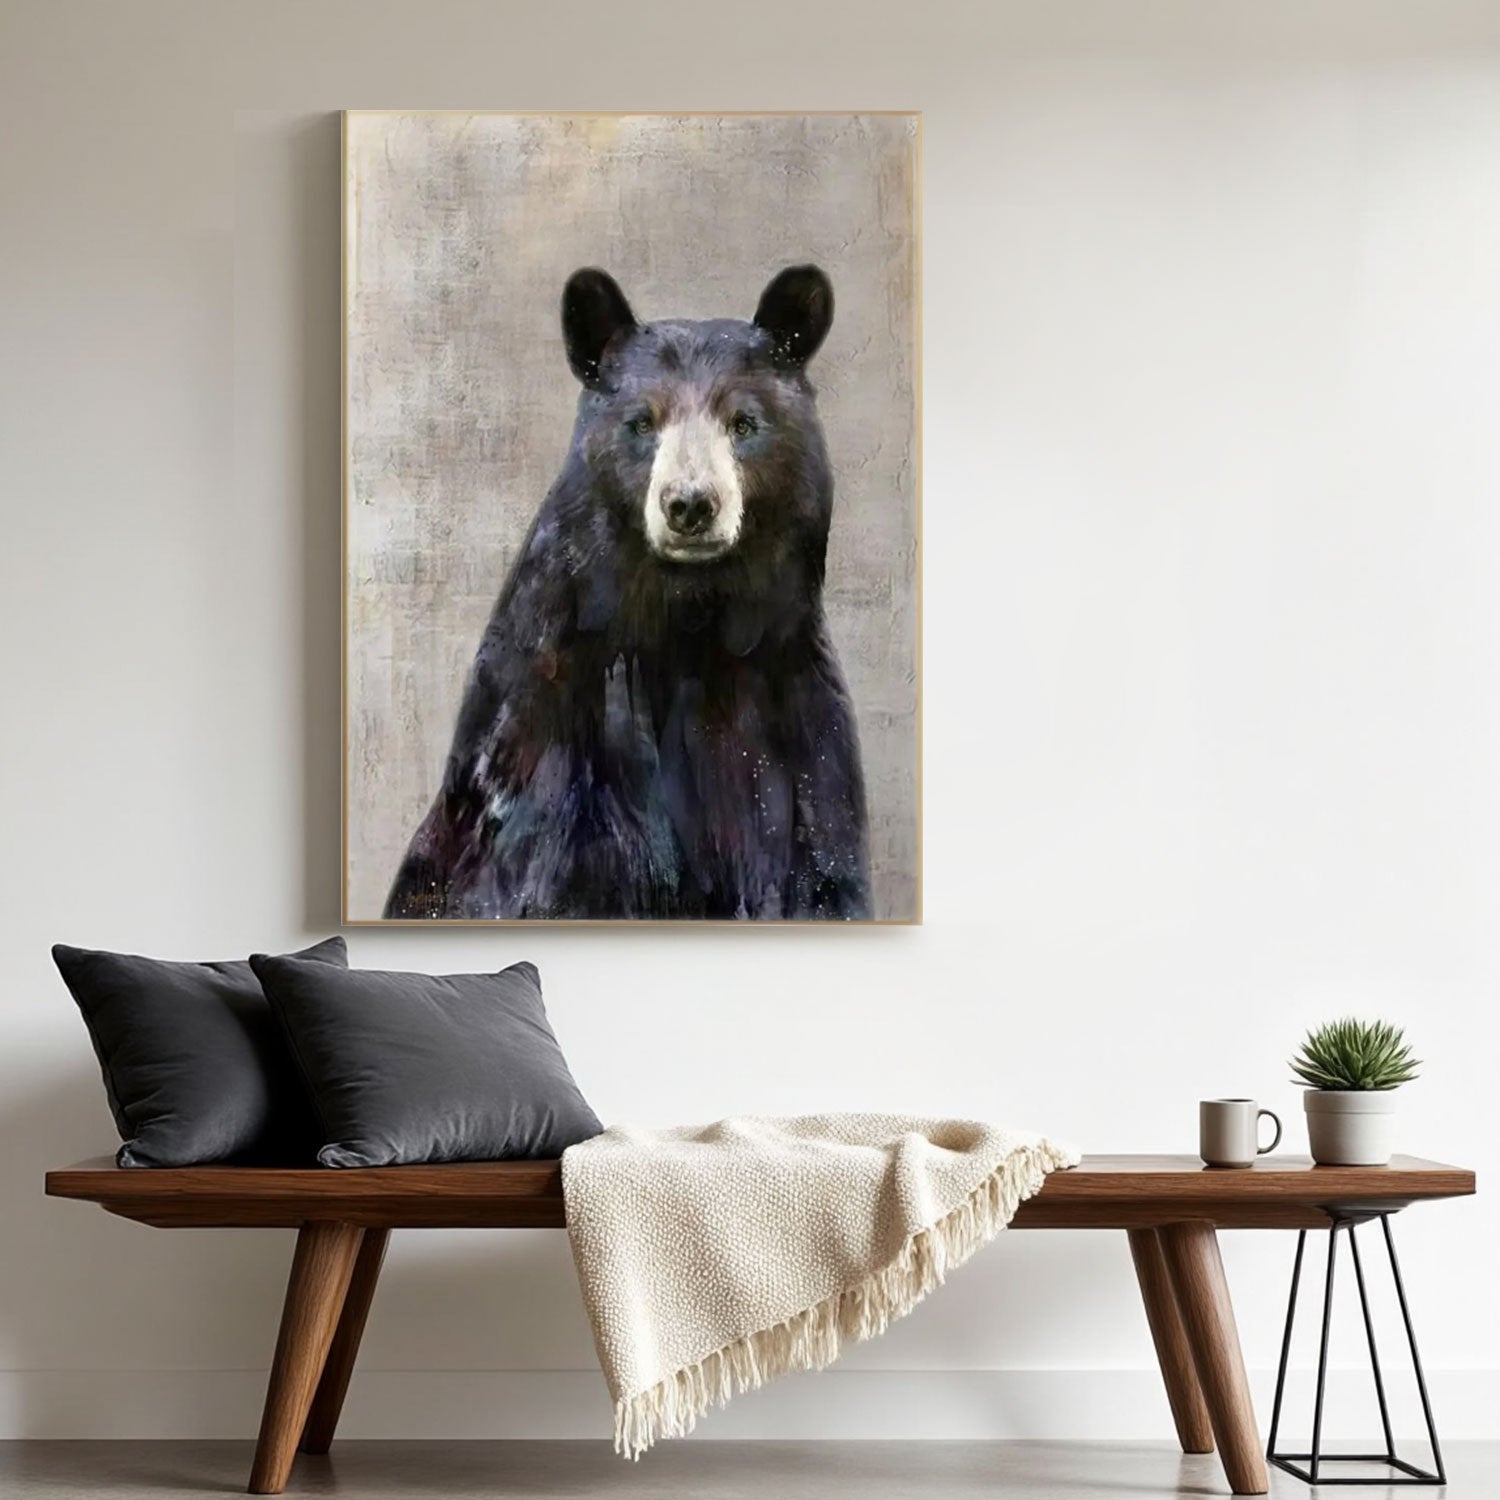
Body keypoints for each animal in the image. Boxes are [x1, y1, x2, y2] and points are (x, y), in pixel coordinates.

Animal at [384, 265, 871, 921]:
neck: (688, 625)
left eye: (743, 423)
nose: (690, 504)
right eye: (642, 422)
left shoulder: (799, 733)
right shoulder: (550, 747)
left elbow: (821, 870)